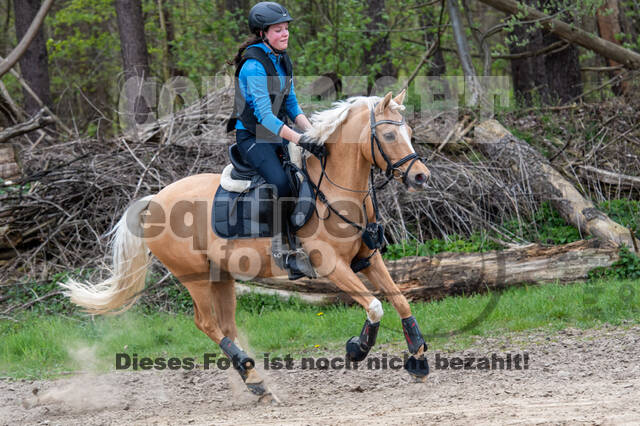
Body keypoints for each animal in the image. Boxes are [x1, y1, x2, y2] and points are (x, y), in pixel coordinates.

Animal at [61, 89, 430, 400]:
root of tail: (154, 200)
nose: (421, 177)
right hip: (194, 277)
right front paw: (357, 348)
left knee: (227, 326)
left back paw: (254, 380)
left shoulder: (368, 258)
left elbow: (400, 301)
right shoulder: (331, 266)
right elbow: (375, 305)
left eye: (410, 131)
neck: (334, 190)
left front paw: (419, 359)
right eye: (389, 135)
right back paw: (254, 379)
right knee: (207, 324)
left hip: (221, 276)